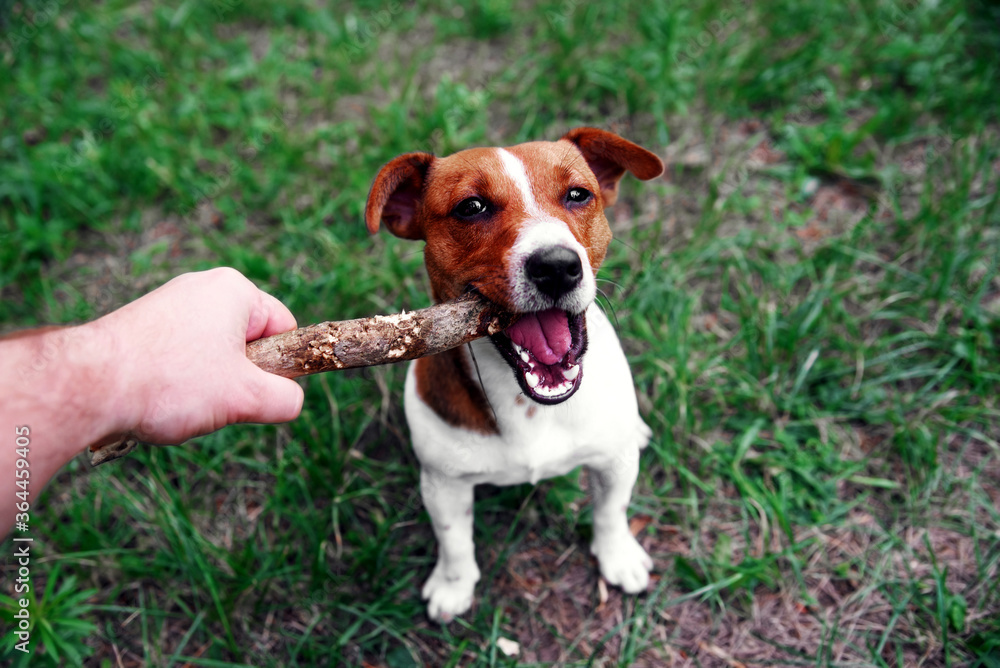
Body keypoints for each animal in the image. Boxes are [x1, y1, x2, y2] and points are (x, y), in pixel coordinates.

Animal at [364, 126, 660, 620]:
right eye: (471, 207)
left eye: (578, 194)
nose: (557, 266)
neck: (528, 404)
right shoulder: (442, 483)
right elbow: (454, 540)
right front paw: (453, 585)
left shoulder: (612, 463)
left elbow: (611, 511)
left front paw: (617, 555)